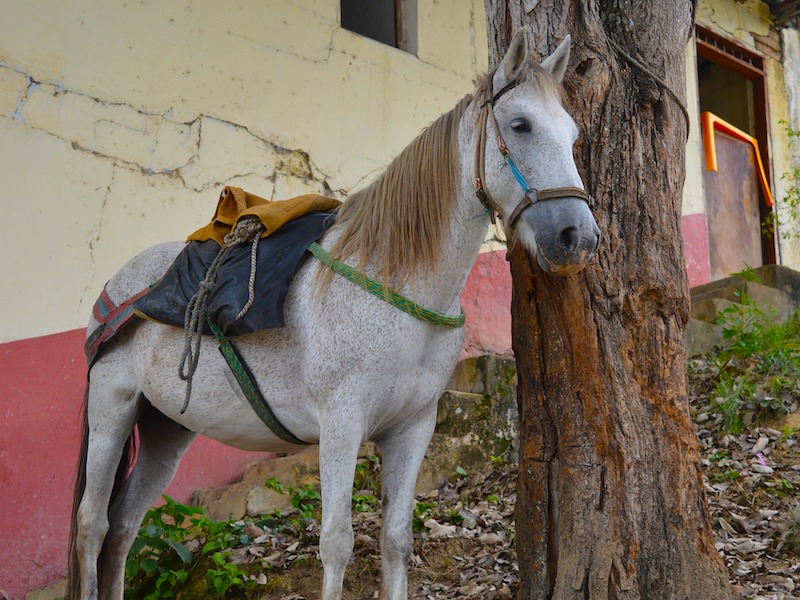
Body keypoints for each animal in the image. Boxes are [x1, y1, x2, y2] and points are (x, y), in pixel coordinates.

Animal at [69, 27, 600, 600]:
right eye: (520, 124)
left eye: (573, 135)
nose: (577, 237)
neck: (395, 286)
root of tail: (115, 291)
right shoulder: (341, 425)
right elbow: (337, 543)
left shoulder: (413, 428)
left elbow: (396, 539)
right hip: (113, 408)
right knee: (92, 524)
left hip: (167, 427)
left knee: (124, 527)